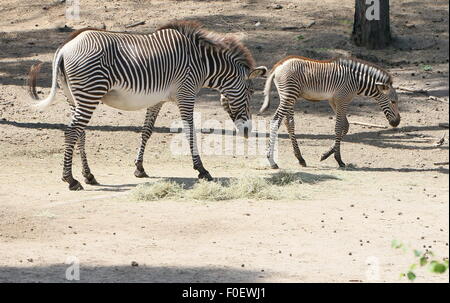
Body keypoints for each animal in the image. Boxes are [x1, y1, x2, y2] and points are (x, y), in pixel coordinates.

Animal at [28, 22, 268, 190]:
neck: (202, 63)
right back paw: (70, 180)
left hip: (75, 97)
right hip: (89, 93)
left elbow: (147, 131)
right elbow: (190, 131)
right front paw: (202, 170)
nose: (248, 131)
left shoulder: (157, 99)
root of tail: (66, 47)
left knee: (80, 133)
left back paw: (89, 176)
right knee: (71, 132)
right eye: (250, 92)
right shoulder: (186, 93)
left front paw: (139, 168)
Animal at [260, 56, 400, 170]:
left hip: (289, 97)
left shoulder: (334, 100)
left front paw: (325, 154)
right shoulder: (342, 100)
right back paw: (272, 161)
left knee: (289, 123)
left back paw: (300, 159)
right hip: (289, 95)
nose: (397, 122)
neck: (356, 81)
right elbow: (338, 128)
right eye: (393, 101)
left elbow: (345, 126)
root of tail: (278, 66)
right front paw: (339, 160)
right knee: (275, 121)